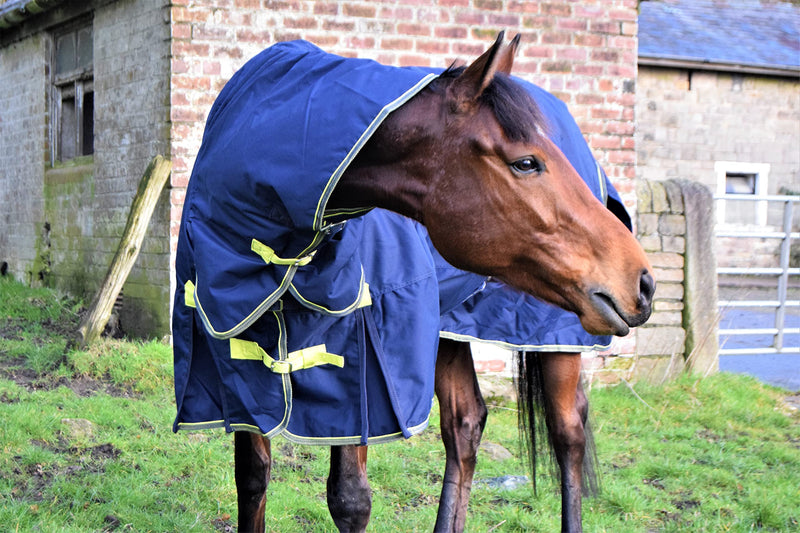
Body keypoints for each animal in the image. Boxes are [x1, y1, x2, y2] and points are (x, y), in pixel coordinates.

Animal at [173, 33, 654, 532]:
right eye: (526, 162)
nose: (641, 282)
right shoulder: (240, 371)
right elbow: (251, 478)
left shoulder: (361, 377)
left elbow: (349, 498)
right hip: (447, 328)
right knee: (464, 426)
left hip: (557, 335)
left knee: (567, 434)